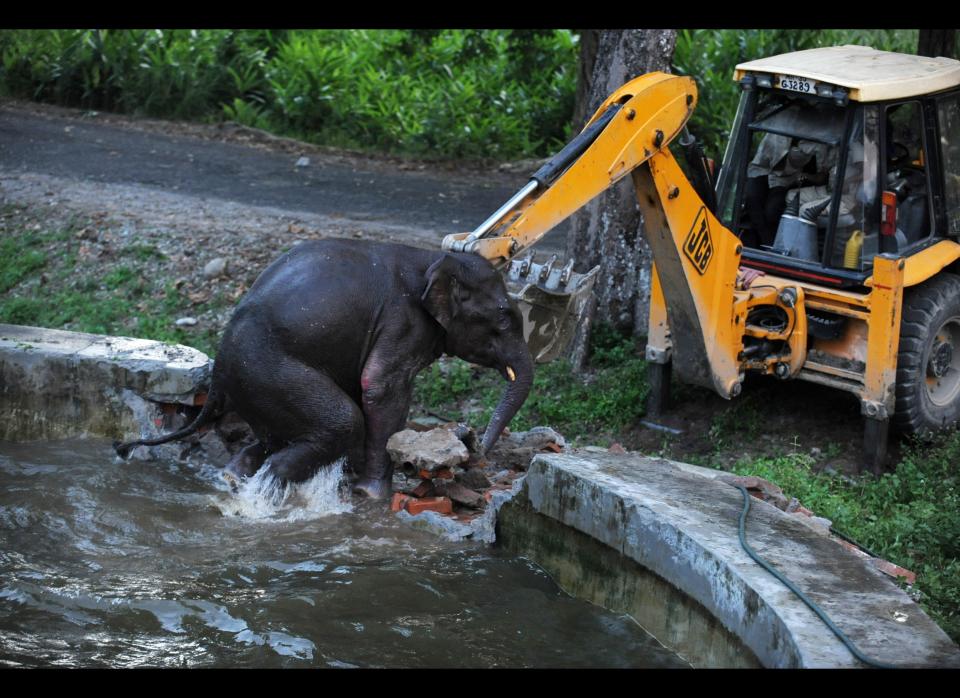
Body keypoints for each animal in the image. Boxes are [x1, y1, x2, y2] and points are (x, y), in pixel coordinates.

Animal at [114, 237, 532, 498]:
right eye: (505, 318)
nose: (478, 448)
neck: (433, 258)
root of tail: (218, 374)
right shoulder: (403, 322)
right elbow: (380, 385)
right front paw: (373, 495)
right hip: (270, 372)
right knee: (340, 423)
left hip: (257, 388)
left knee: (273, 436)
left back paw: (236, 476)